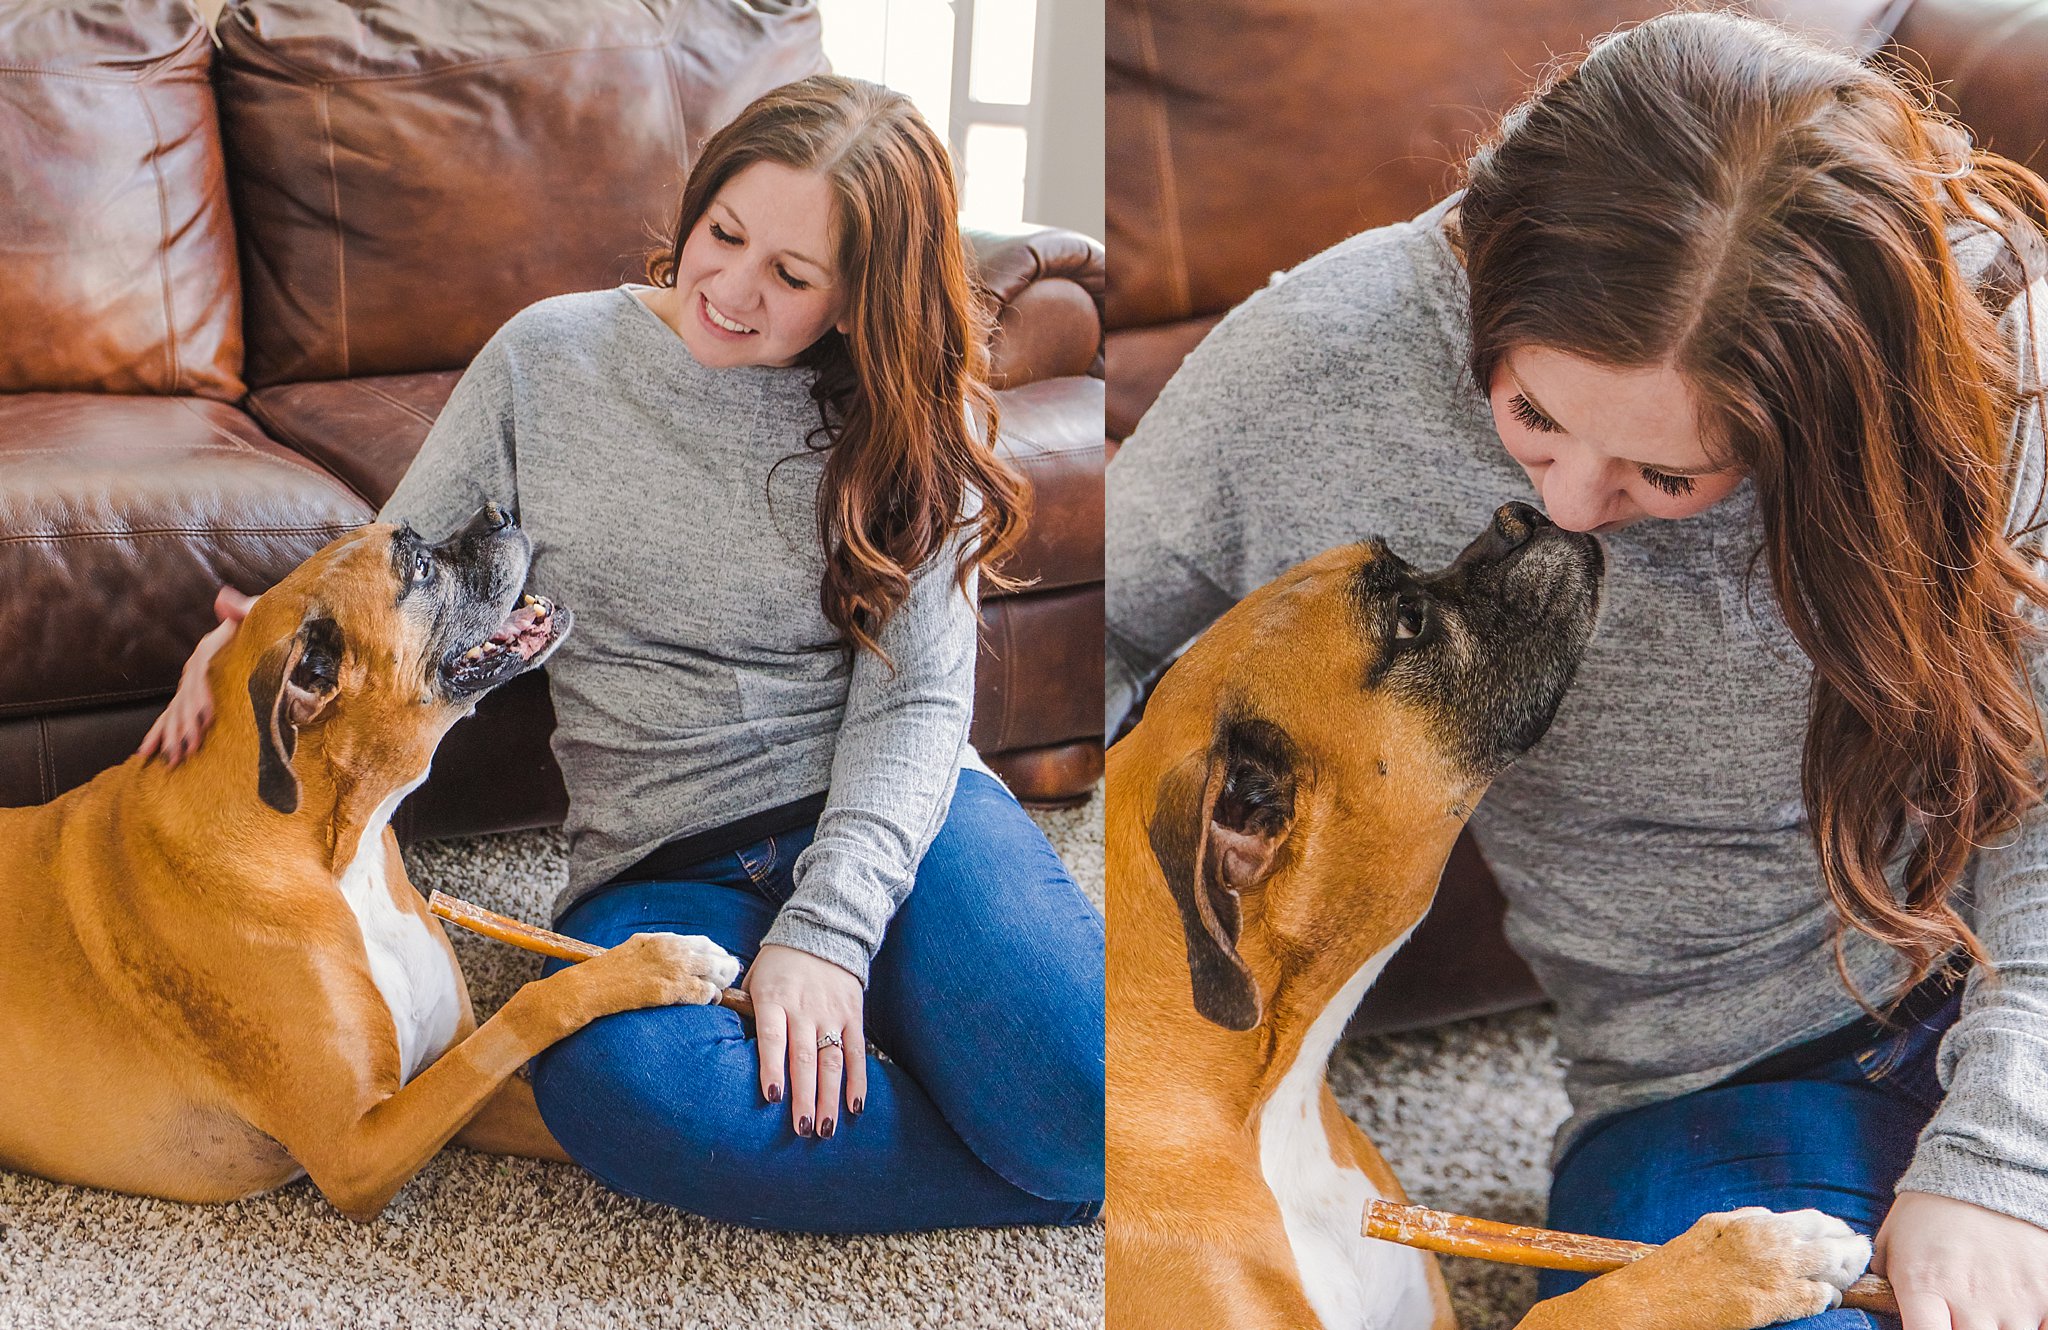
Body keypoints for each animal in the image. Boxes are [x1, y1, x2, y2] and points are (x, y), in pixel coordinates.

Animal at [0, 504, 737, 1221]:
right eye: (416, 567)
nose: (497, 511)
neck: (332, 851)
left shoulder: (463, 1087)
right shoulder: (357, 1151)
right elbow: (532, 1004)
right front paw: (659, 961)